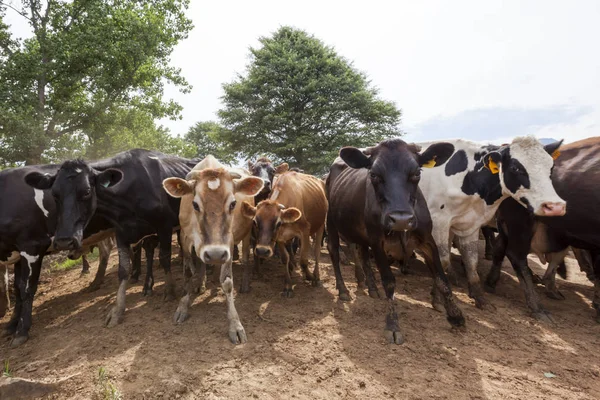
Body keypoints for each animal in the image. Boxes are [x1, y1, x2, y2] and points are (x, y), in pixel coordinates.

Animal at [25, 148, 197, 336]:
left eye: (86, 191)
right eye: (55, 194)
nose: (64, 241)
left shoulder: (164, 226)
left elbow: (165, 259)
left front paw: (169, 290)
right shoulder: (121, 232)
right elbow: (123, 270)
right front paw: (117, 310)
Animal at [162, 156, 262, 344]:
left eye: (233, 203)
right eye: (195, 204)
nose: (215, 254)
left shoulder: (228, 244)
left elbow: (228, 282)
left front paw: (235, 324)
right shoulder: (185, 238)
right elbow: (188, 274)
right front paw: (182, 307)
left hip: (245, 237)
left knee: (245, 260)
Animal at [328, 138, 464, 344]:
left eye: (417, 173)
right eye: (374, 175)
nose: (401, 219)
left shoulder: (427, 240)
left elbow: (442, 277)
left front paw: (456, 315)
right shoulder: (377, 242)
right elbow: (389, 281)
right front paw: (392, 325)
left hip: (361, 235)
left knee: (363, 256)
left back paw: (371, 288)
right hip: (331, 223)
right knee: (334, 253)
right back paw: (343, 289)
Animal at [414, 136, 564, 310]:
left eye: (551, 167)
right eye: (515, 167)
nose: (555, 206)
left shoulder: (470, 223)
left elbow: (471, 261)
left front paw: (480, 297)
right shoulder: (439, 221)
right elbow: (442, 261)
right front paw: (438, 299)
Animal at [486, 138, 600, 322]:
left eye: (550, 168)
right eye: (515, 168)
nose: (556, 206)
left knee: (501, 249)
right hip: (519, 222)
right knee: (515, 255)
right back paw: (537, 306)